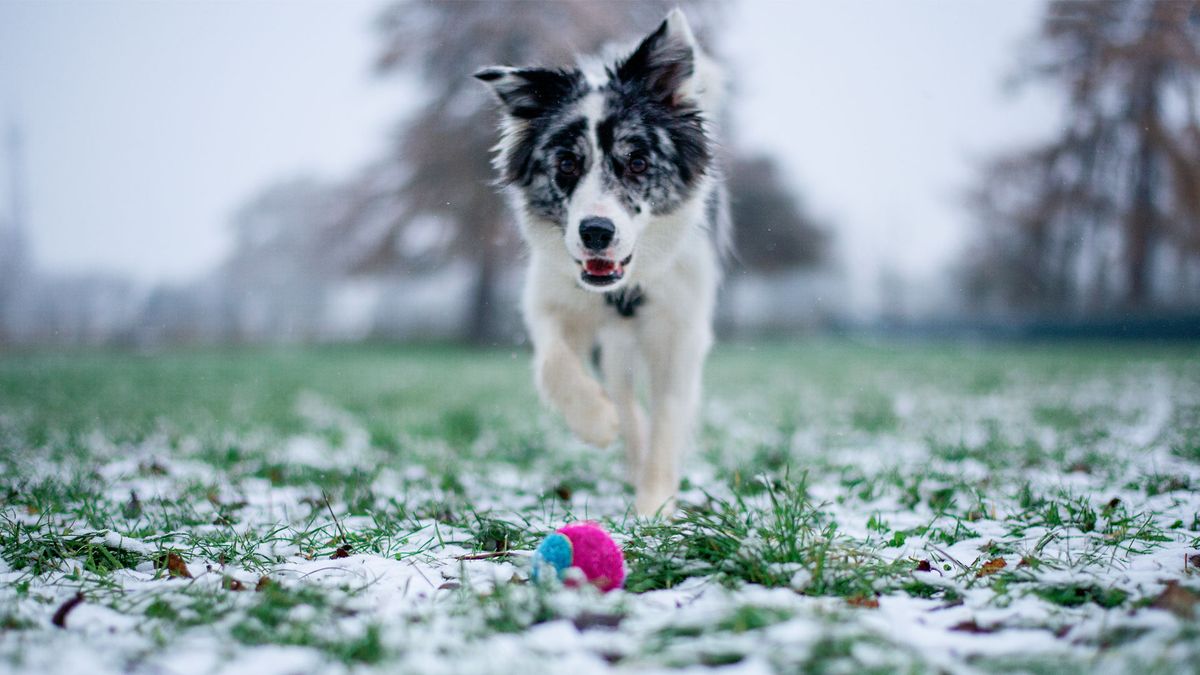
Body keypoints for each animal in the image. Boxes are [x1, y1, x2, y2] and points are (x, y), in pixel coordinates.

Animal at [477, 7, 729, 511]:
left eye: (637, 162)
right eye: (567, 164)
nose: (595, 232)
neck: (625, 289)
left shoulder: (680, 329)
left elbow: (669, 419)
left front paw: (654, 508)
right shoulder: (552, 300)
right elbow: (553, 364)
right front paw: (596, 422)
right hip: (613, 346)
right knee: (622, 391)